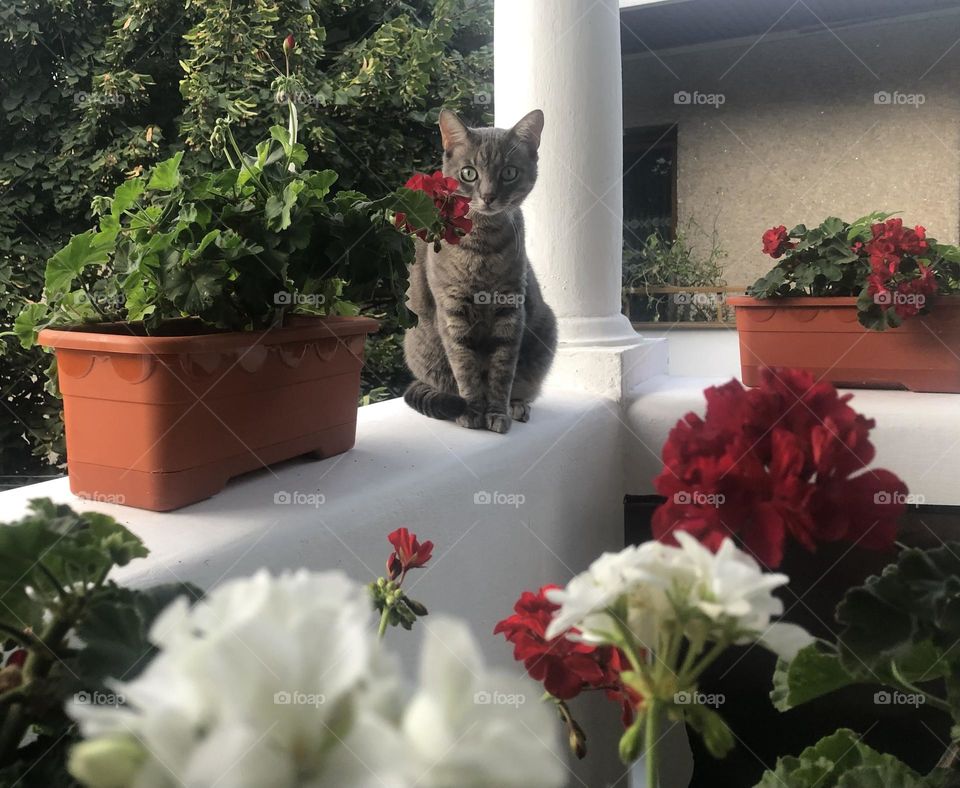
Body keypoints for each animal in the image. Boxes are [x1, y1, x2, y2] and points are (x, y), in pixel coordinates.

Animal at [404, 107, 556, 434]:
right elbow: (465, 367)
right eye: (469, 173)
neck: (481, 247)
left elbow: (502, 370)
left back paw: (516, 406)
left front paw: (497, 412)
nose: (487, 196)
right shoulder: (452, 310)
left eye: (509, 172)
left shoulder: (510, 308)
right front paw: (472, 410)